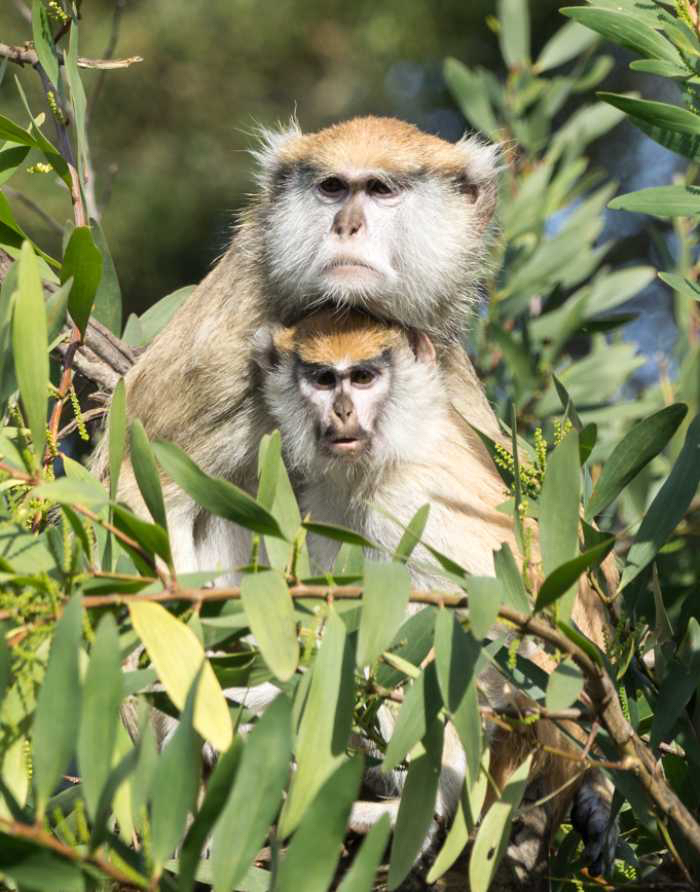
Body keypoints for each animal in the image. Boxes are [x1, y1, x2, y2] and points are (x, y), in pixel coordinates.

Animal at [91, 116, 615, 876]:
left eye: (381, 190)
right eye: (332, 186)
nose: (346, 224)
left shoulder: (426, 341)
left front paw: (597, 794)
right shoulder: (244, 325)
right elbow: (138, 494)